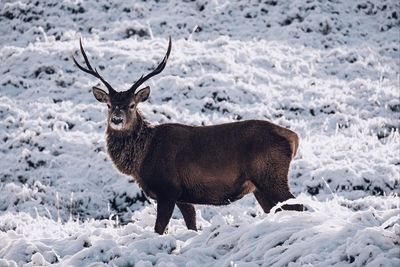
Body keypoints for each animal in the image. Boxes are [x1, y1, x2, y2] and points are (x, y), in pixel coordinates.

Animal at [72, 37, 304, 234]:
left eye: (132, 105)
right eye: (109, 105)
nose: (117, 119)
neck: (143, 158)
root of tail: (294, 138)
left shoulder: (168, 189)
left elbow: (159, 228)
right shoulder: (184, 196)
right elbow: (192, 225)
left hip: (270, 174)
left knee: (298, 204)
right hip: (259, 185)